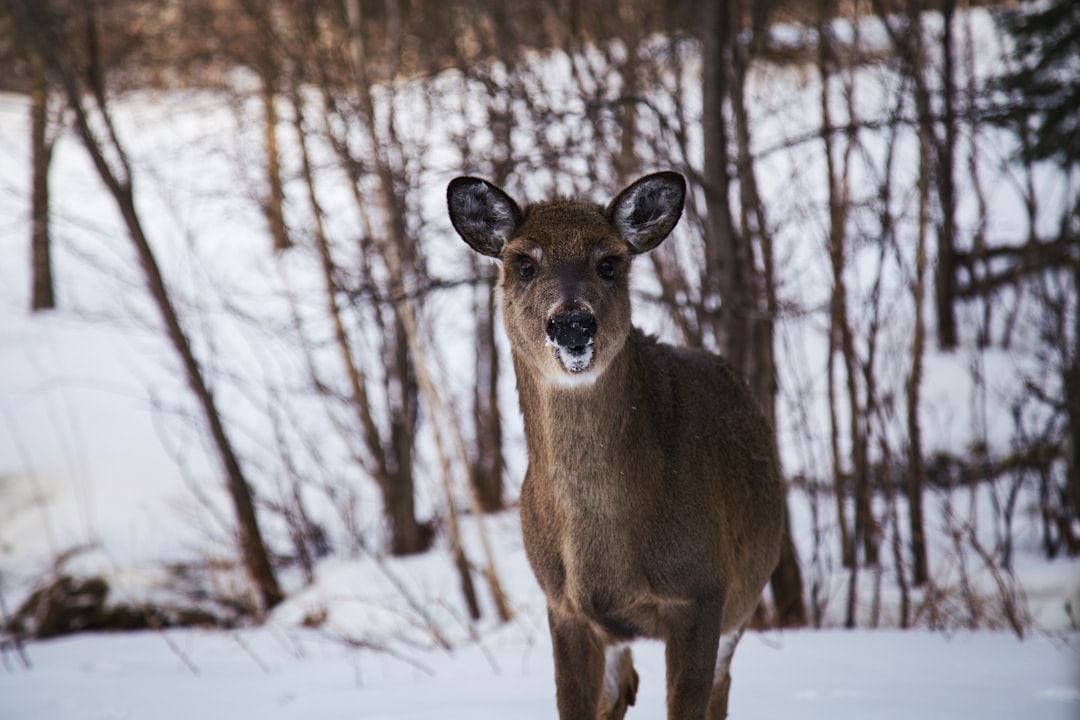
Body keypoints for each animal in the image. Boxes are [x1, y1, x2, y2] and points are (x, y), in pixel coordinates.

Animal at [447, 172, 786, 720]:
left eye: (609, 262)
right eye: (523, 262)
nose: (572, 324)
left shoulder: (703, 592)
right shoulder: (563, 606)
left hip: (744, 598)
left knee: (719, 689)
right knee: (622, 687)